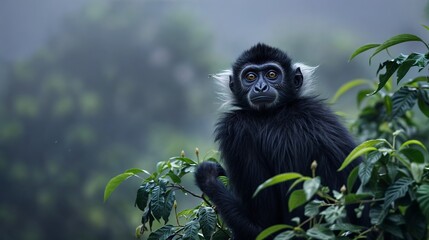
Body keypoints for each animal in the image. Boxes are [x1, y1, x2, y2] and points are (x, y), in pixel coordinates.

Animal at [196, 44, 362, 239]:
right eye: (250, 77)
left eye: (272, 74)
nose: (260, 87)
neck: (277, 110)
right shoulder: (316, 109)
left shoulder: (235, 130)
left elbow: (263, 225)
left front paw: (207, 176)